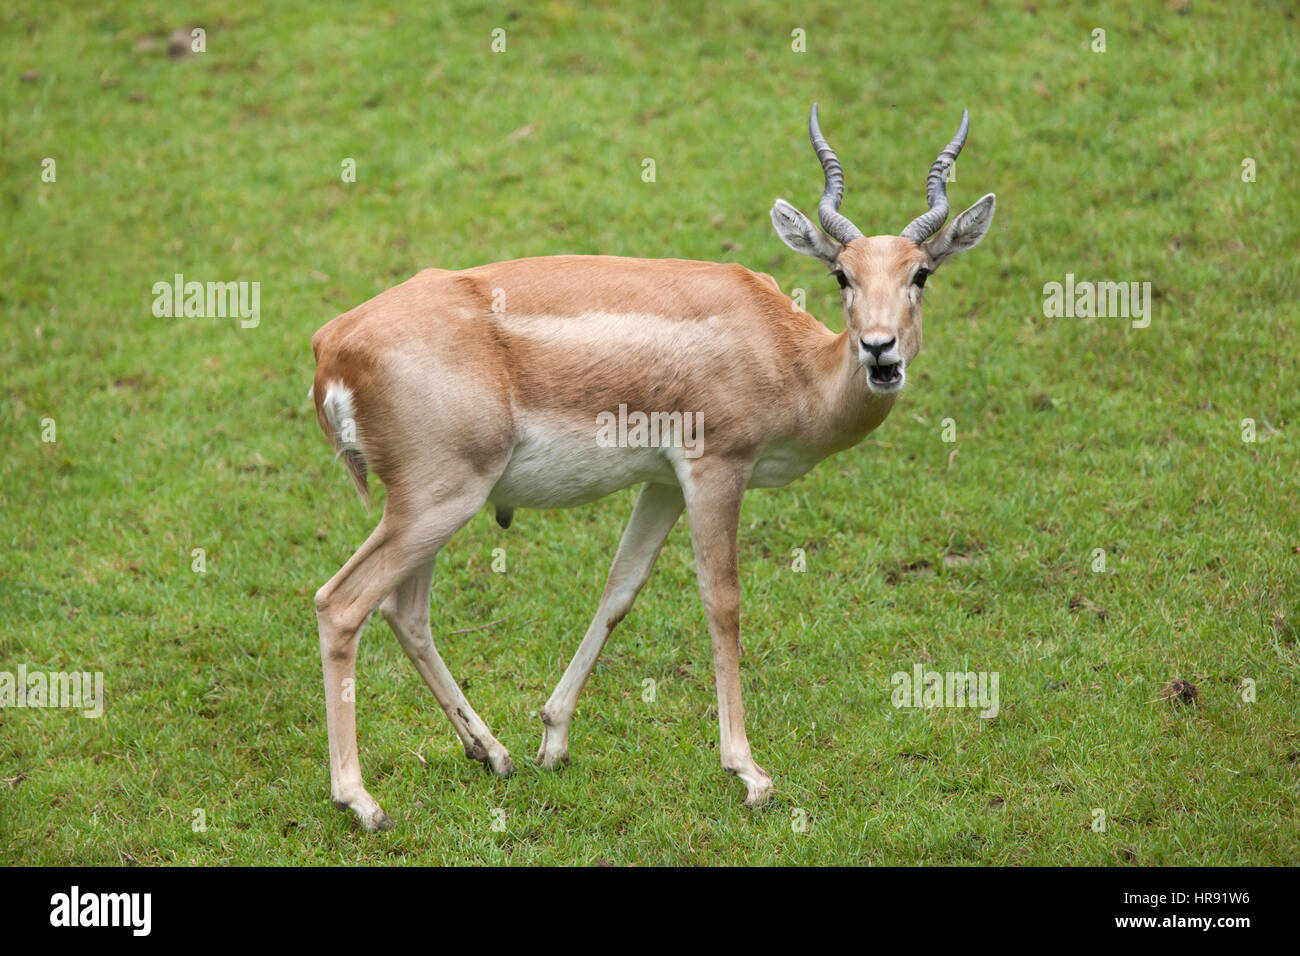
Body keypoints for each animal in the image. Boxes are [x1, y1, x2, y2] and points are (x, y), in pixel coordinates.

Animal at [312, 100, 993, 827]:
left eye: (920, 273)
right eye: (843, 274)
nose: (879, 350)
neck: (785, 354)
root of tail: (332, 346)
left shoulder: (663, 483)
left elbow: (620, 589)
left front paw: (553, 737)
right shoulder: (716, 467)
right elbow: (722, 600)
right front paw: (749, 772)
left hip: (430, 507)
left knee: (405, 612)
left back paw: (492, 753)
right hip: (440, 500)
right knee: (342, 604)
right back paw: (361, 800)